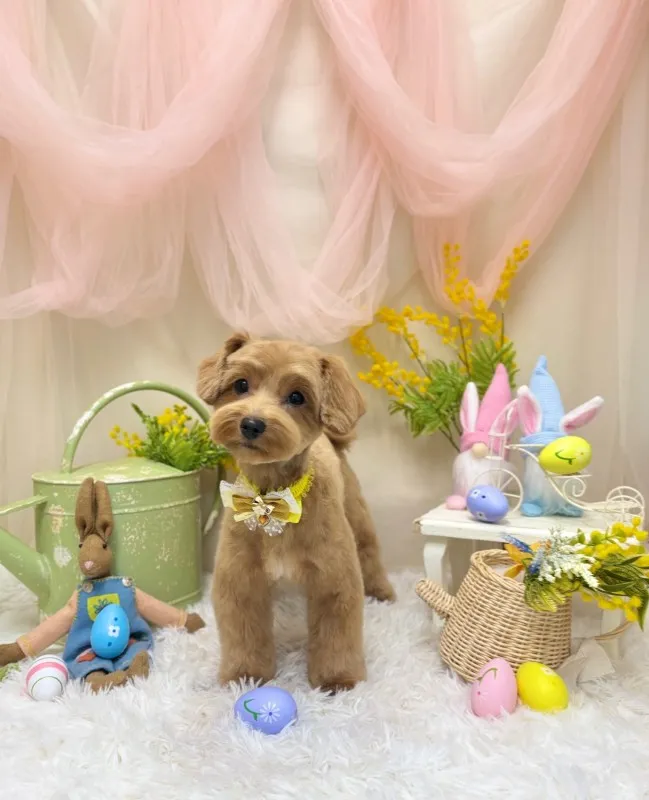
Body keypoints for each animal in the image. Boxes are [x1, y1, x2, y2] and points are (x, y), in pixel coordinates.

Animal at [196, 333, 395, 693]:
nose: (251, 423)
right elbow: (244, 634)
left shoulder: (333, 578)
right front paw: (245, 677)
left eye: (297, 396)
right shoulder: (241, 579)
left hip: (356, 514)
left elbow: (336, 633)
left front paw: (337, 680)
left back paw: (381, 592)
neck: (273, 502)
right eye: (241, 384)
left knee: (369, 549)